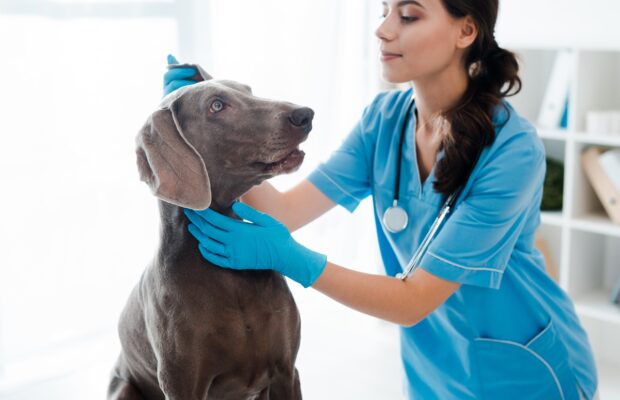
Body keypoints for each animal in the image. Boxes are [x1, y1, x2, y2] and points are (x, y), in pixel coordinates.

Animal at [106, 64, 312, 398]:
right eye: (216, 105)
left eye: (249, 90)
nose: (304, 114)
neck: (229, 277)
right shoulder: (182, 384)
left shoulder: (286, 371)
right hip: (122, 387)